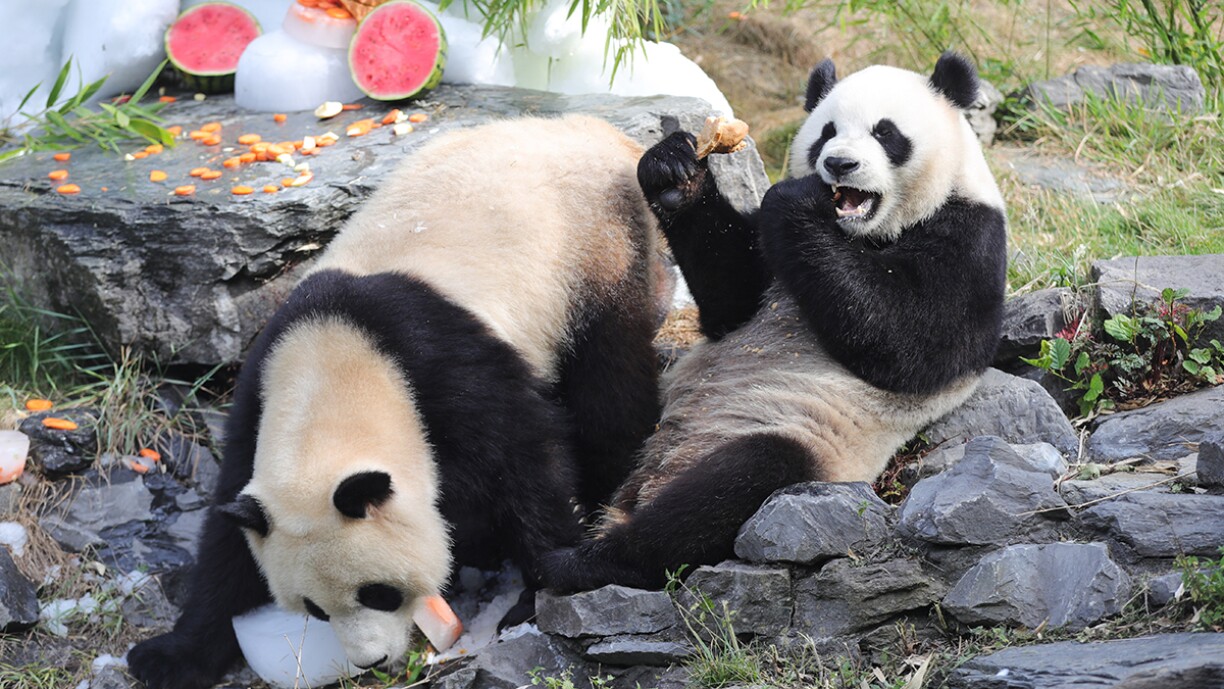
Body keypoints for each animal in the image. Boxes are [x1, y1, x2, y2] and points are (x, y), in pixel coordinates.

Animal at [128, 115, 663, 689]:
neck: (336, 366)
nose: (372, 661)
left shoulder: (447, 365)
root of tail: (595, 127)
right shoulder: (258, 395)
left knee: (609, 381)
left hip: (595, 251)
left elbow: (527, 462)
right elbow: (228, 544)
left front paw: (539, 588)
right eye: (315, 609)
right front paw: (169, 656)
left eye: (379, 593)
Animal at [541, 53, 1008, 591]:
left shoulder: (971, 240)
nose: (839, 165)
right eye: (826, 133)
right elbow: (731, 301)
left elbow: (910, 343)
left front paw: (796, 201)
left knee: (732, 485)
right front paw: (674, 172)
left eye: (886, 132)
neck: (865, 234)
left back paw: (588, 559)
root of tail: (647, 483)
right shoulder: (766, 270)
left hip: (799, 438)